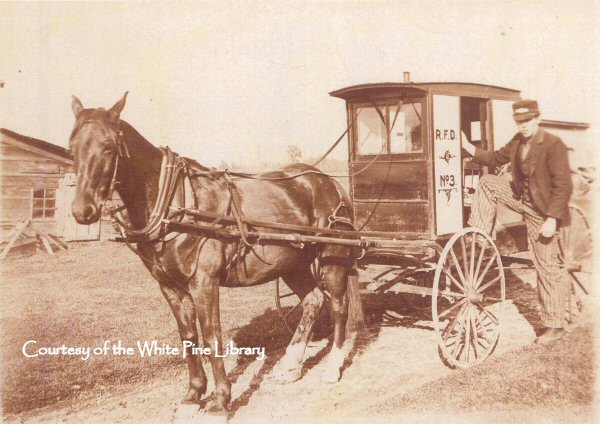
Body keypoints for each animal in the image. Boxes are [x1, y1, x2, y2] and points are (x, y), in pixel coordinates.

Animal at [68, 93, 364, 418]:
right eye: (72, 147)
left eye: (109, 147)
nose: (82, 211)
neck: (176, 206)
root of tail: (327, 181)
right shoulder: (170, 287)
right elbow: (188, 337)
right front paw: (193, 395)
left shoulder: (204, 282)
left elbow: (211, 336)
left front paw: (221, 400)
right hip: (291, 263)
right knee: (313, 300)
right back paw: (291, 366)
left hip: (332, 256)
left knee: (338, 306)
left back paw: (333, 367)